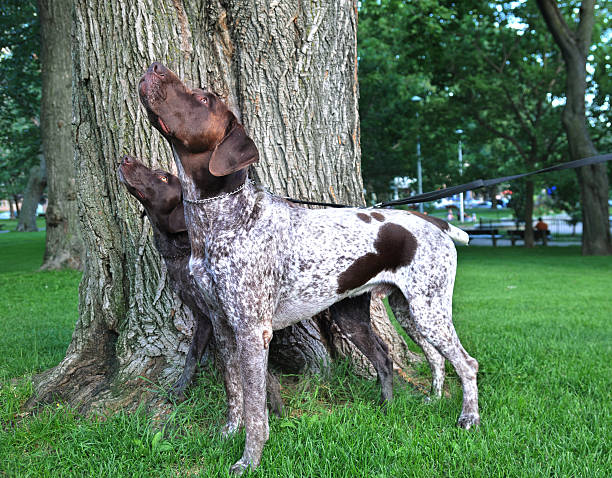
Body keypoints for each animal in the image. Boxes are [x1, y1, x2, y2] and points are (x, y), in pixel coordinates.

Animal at [137, 60, 478, 474]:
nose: (155, 67)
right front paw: (228, 434)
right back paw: (400, 405)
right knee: (408, 357)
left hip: (429, 311)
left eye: (204, 100)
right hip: (388, 312)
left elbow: (256, 407)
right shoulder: (221, 325)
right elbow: (233, 390)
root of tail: (436, 221)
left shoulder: (252, 331)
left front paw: (249, 460)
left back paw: (468, 418)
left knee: (466, 363)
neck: (223, 219)